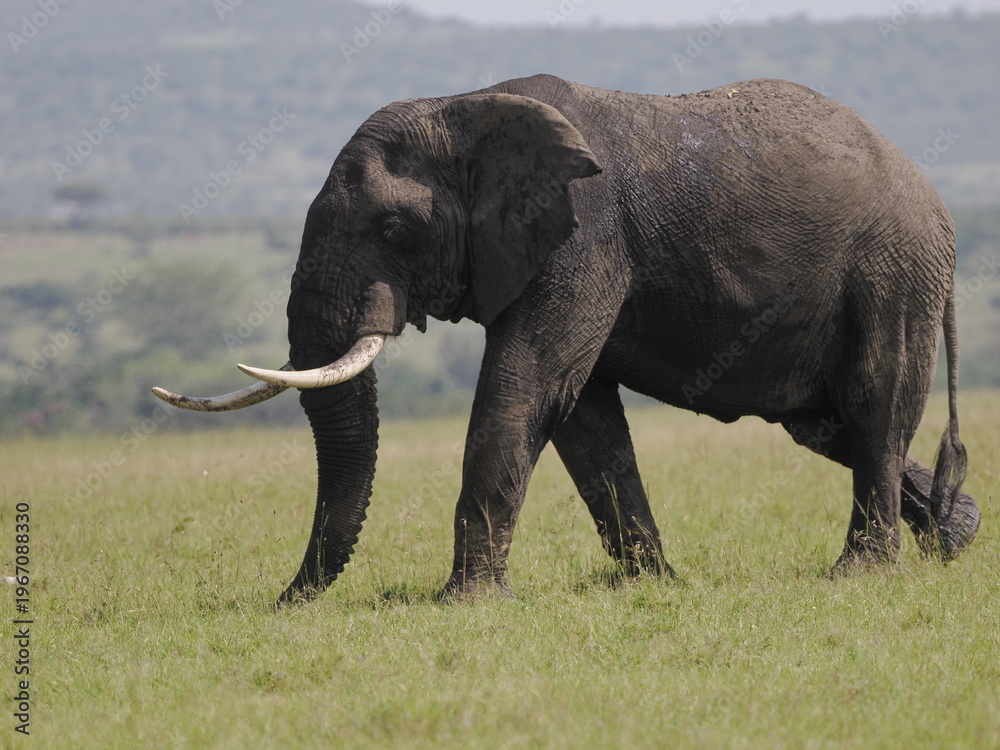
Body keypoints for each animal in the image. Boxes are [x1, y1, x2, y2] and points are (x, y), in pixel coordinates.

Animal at [154, 74, 980, 604]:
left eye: (393, 229)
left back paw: (862, 576)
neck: (463, 107)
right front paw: (651, 585)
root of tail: (938, 205)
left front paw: (468, 603)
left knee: (873, 407)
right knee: (823, 424)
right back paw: (955, 535)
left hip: (890, 273)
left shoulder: (584, 237)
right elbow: (584, 418)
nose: (285, 601)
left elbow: (524, 388)